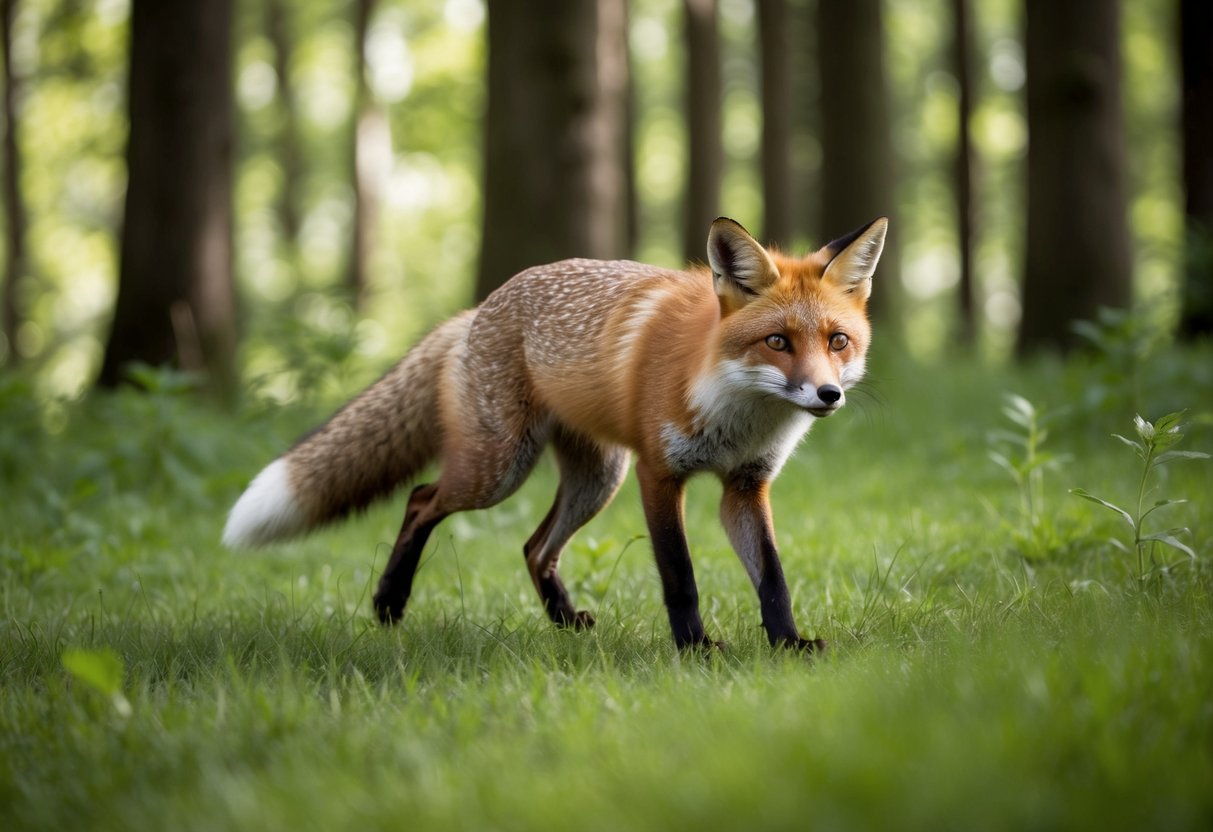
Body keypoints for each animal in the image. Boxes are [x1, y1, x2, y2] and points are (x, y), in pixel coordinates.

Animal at [223, 216, 888, 651]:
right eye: (777, 341)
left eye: (837, 341)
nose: (827, 394)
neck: (737, 411)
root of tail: (478, 309)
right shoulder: (659, 474)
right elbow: (680, 576)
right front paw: (695, 649)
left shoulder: (745, 487)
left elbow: (773, 577)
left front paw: (788, 644)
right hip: (501, 470)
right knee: (420, 500)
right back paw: (389, 603)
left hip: (596, 479)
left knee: (534, 547)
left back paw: (566, 625)